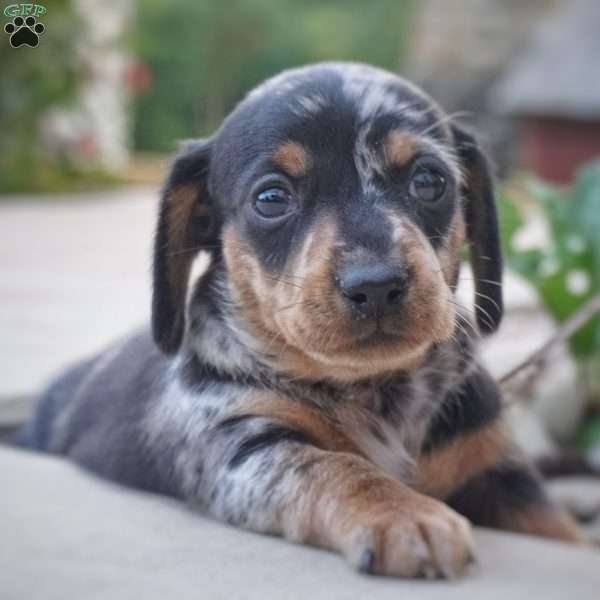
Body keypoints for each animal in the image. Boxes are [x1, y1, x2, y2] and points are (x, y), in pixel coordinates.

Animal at [16, 63, 584, 580]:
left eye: (429, 181)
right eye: (271, 198)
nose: (376, 285)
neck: (376, 392)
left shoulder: (501, 476)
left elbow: (562, 530)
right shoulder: (242, 447)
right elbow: (334, 466)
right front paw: (406, 514)